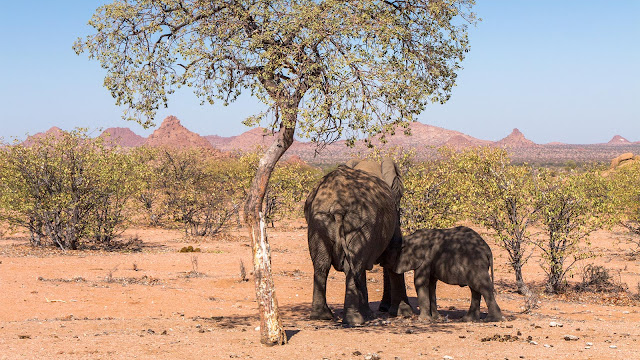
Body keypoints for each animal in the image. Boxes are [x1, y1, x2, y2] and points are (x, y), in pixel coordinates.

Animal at [304, 158, 410, 326]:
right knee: (350, 265)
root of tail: (337, 205)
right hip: (357, 221)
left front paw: (370, 314)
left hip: (318, 221)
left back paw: (322, 316)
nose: (383, 308)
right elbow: (394, 252)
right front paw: (404, 313)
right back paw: (355, 320)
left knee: (323, 264)